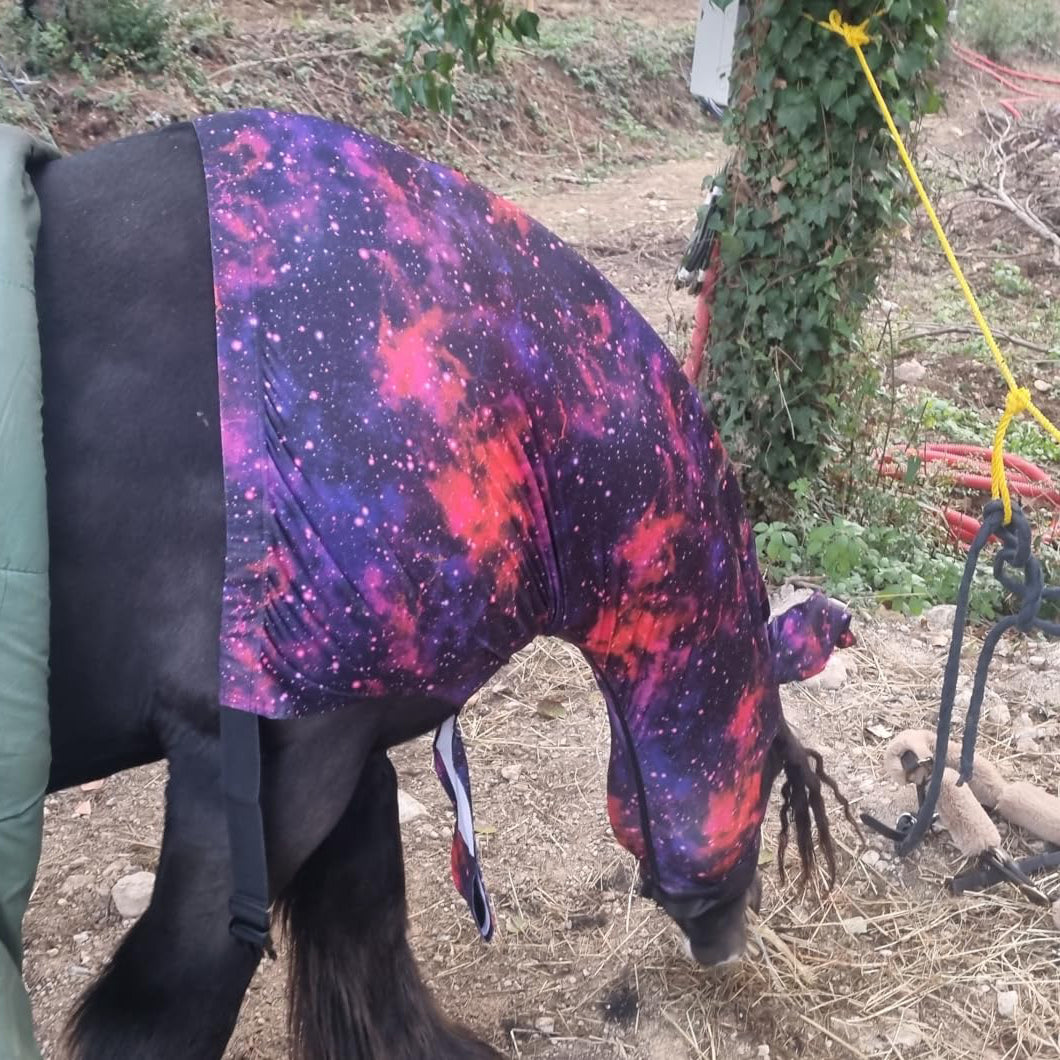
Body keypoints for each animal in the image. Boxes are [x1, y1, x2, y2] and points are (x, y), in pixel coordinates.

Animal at [30, 110, 854, 1060]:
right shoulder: (258, 786)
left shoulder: (345, 753)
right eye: (772, 768)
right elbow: (171, 1008)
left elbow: (366, 922)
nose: (730, 935)